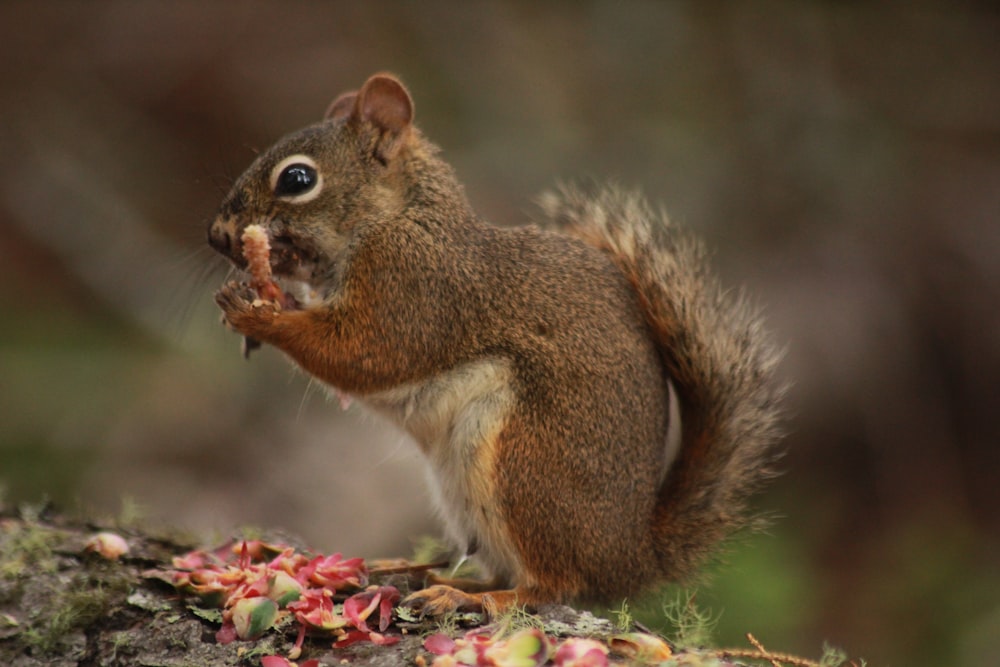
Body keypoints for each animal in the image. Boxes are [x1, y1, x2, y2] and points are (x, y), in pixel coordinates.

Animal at [207, 72, 784, 616]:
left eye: (298, 179)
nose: (217, 235)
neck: (396, 216)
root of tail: (630, 557)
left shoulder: (412, 287)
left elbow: (364, 354)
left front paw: (260, 315)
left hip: (523, 467)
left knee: (550, 585)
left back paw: (472, 598)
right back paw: (437, 579)